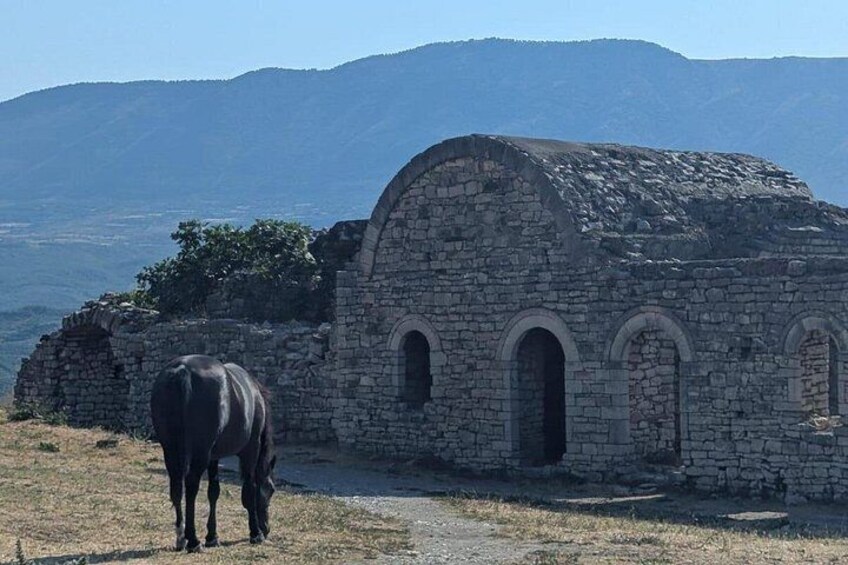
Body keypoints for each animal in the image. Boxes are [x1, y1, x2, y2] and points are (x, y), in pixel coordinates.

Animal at [150, 354, 277, 552]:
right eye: (271, 489)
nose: (267, 528)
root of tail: (182, 370)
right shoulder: (250, 450)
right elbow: (249, 490)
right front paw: (255, 533)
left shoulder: (213, 457)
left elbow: (213, 492)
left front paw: (212, 536)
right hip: (199, 453)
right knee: (191, 487)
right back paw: (193, 540)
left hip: (170, 450)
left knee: (176, 488)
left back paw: (181, 538)